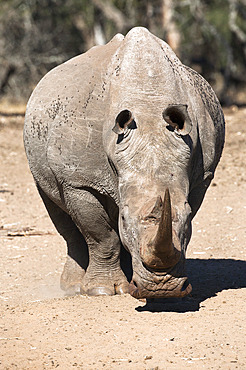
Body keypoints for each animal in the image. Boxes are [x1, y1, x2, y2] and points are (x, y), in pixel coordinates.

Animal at [24, 27, 225, 300]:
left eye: (187, 218)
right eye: (125, 218)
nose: (163, 290)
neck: (149, 104)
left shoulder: (202, 177)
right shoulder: (79, 181)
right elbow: (101, 234)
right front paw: (101, 291)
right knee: (59, 213)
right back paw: (74, 287)